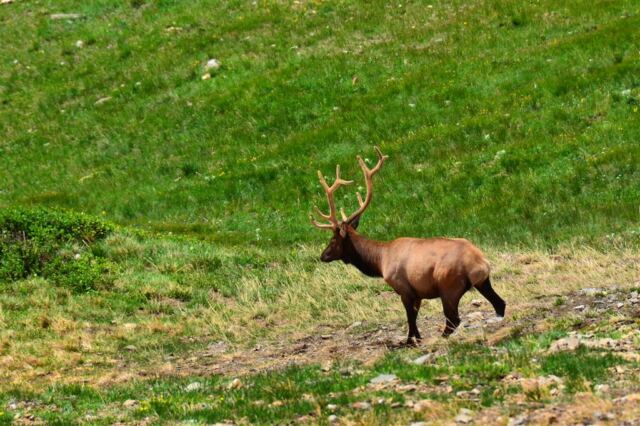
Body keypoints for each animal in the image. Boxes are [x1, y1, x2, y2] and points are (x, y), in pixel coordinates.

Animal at [310, 147, 506, 344]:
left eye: (332, 240)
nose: (322, 255)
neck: (380, 261)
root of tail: (480, 264)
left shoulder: (403, 287)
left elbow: (410, 317)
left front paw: (411, 340)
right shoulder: (417, 292)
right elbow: (415, 316)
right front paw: (415, 338)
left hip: (449, 286)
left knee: (453, 319)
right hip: (482, 282)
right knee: (500, 304)